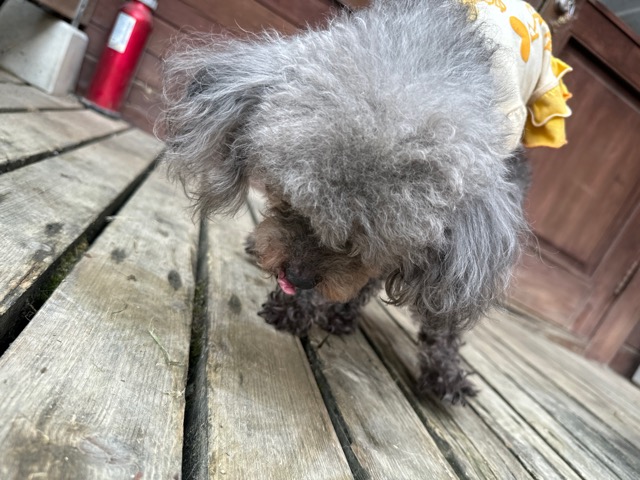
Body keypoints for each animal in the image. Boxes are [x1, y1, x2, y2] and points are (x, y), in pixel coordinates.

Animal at [160, 0, 571, 404]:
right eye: (290, 202)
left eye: (357, 244)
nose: (296, 278)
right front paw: (297, 306)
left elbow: (441, 314)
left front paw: (446, 371)